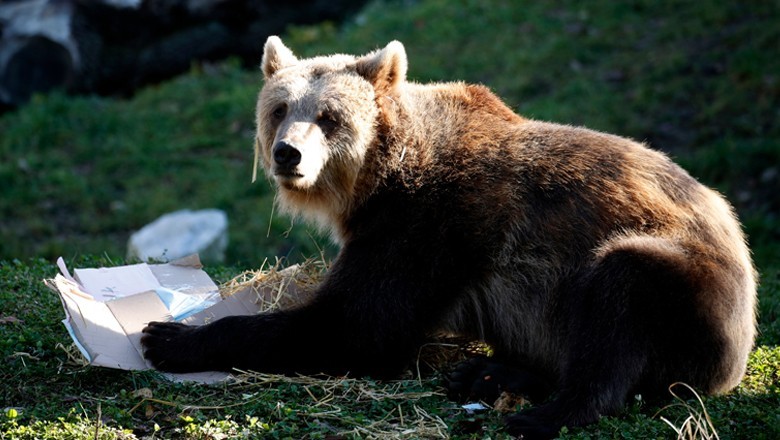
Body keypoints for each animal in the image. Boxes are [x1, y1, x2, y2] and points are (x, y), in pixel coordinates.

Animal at [142, 36, 757, 439]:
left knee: (619, 297)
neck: (380, 178)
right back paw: (487, 373)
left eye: (329, 116)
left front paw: (167, 337)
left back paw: (543, 412)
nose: (287, 154)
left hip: (689, 286)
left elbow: (357, 325)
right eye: (279, 107)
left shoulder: (431, 224)